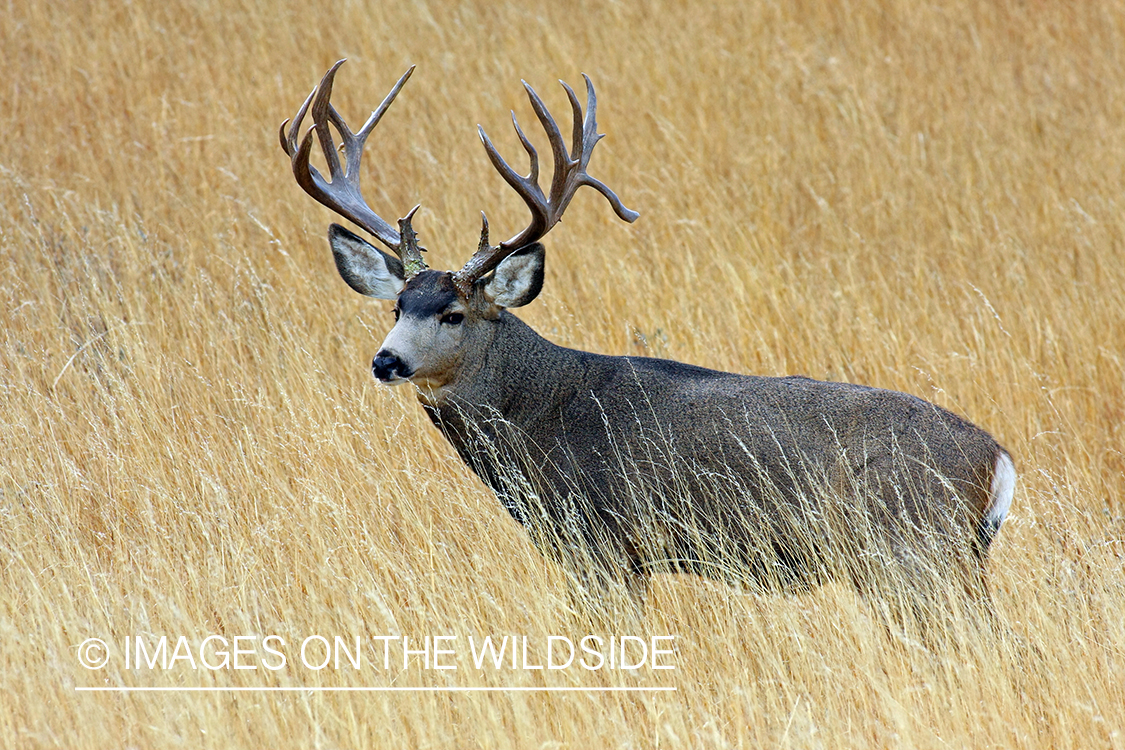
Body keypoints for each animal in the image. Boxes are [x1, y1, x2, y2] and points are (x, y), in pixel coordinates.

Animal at [281, 61, 1015, 620]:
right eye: (397, 304)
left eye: (455, 313)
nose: (387, 360)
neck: (540, 415)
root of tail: (997, 458)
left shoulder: (602, 543)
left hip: (912, 549)